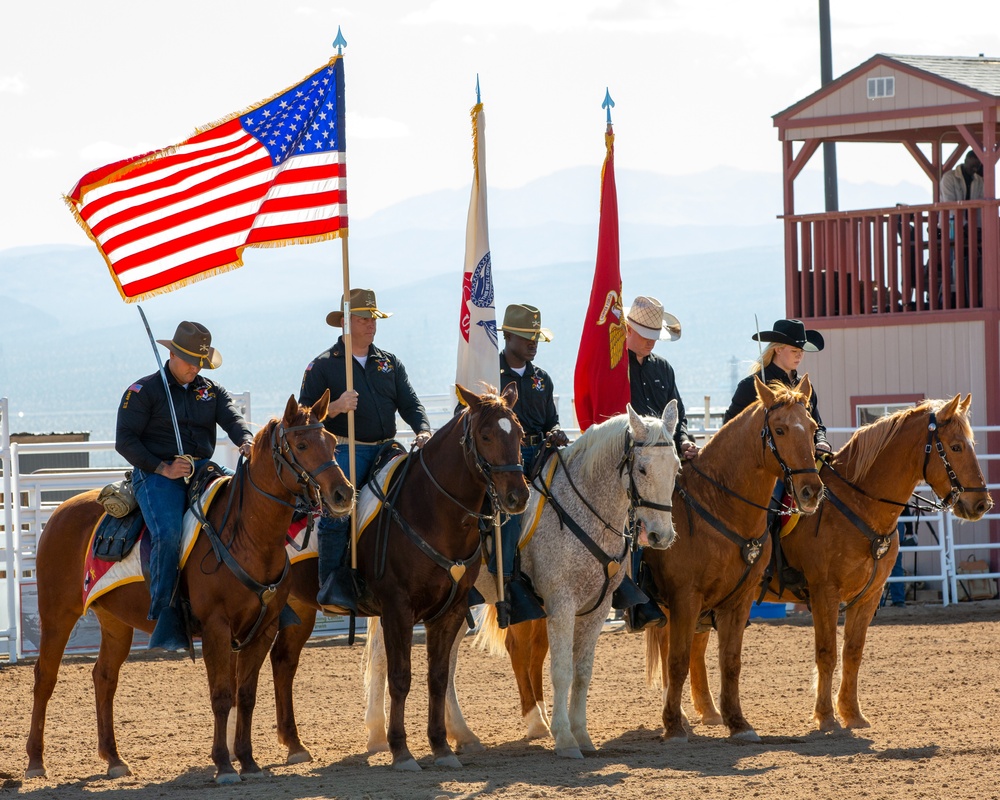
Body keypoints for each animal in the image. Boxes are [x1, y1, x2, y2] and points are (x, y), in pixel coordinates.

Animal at [25, 394, 354, 780]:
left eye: (332, 442)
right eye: (301, 445)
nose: (342, 493)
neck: (247, 535)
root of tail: (61, 510)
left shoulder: (263, 628)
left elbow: (246, 695)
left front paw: (248, 761)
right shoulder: (216, 627)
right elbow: (222, 695)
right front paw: (224, 764)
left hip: (115, 622)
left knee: (104, 677)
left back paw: (114, 759)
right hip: (57, 614)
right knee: (45, 677)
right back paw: (35, 761)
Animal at [368, 404, 688, 760]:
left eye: (676, 467)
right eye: (642, 469)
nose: (661, 535)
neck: (584, 508)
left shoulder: (598, 608)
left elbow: (582, 673)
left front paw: (582, 736)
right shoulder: (561, 604)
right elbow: (561, 671)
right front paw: (565, 739)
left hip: (455, 605)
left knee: (446, 665)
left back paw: (462, 735)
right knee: (382, 656)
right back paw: (378, 735)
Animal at [644, 378, 824, 740]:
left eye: (812, 428)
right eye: (779, 429)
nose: (811, 490)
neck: (719, 505)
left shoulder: (738, 600)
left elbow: (731, 661)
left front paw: (737, 722)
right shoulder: (685, 598)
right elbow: (678, 660)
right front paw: (673, 726)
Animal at [688, 394, 992, 732]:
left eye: (971, 444)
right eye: (955, 447)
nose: (982, 503)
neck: (859, 505)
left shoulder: (869, 596)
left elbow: (853, 653)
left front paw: (852, 713)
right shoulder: (825, 593)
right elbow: (827, 653)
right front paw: (825, 716)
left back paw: (709, 711)